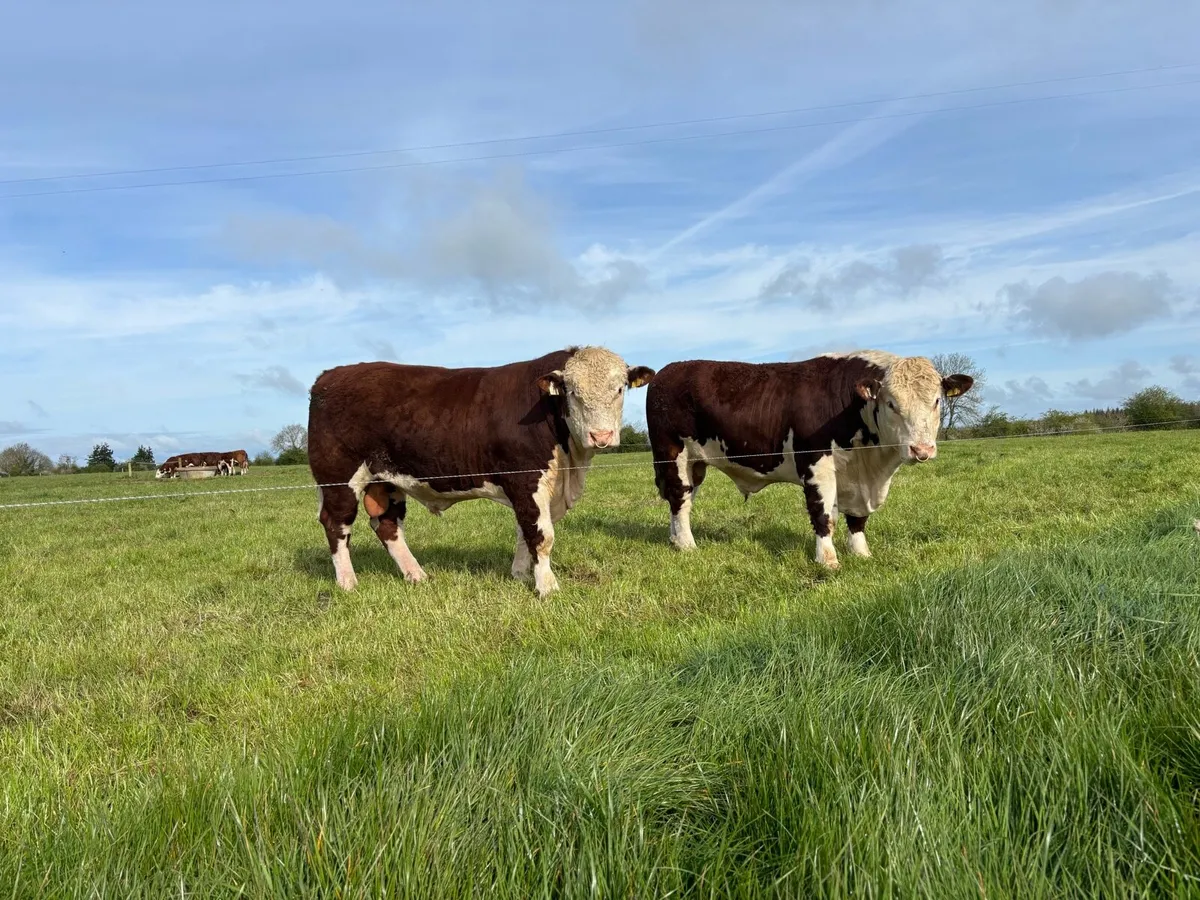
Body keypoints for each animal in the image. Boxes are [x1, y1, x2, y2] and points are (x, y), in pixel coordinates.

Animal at [308, 346, 655, 596]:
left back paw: (416, 575)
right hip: (338, 477)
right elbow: (541, 535)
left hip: (386, 480)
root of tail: (331, 375)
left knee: (387, 524)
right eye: (571, 391)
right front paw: (547, 587)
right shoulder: (526, 478)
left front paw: (520, 575)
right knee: (336, 524)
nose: (601, 436)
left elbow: (524, 531)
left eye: (620, 388)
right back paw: (348, 583)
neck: (570, 463)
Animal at [645, 350, 974, 568]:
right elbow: (824, 514)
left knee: (682, 500)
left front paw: (861, 553)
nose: (922, 450)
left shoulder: (858, 480)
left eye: (936, 401)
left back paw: (675, 539)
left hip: (695, 463)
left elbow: (857, 519)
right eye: (892, 403)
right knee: (679, 498)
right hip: (672, 454)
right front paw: (828, 560)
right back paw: (687, 545)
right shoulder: (817, 466)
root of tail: (668, 370)